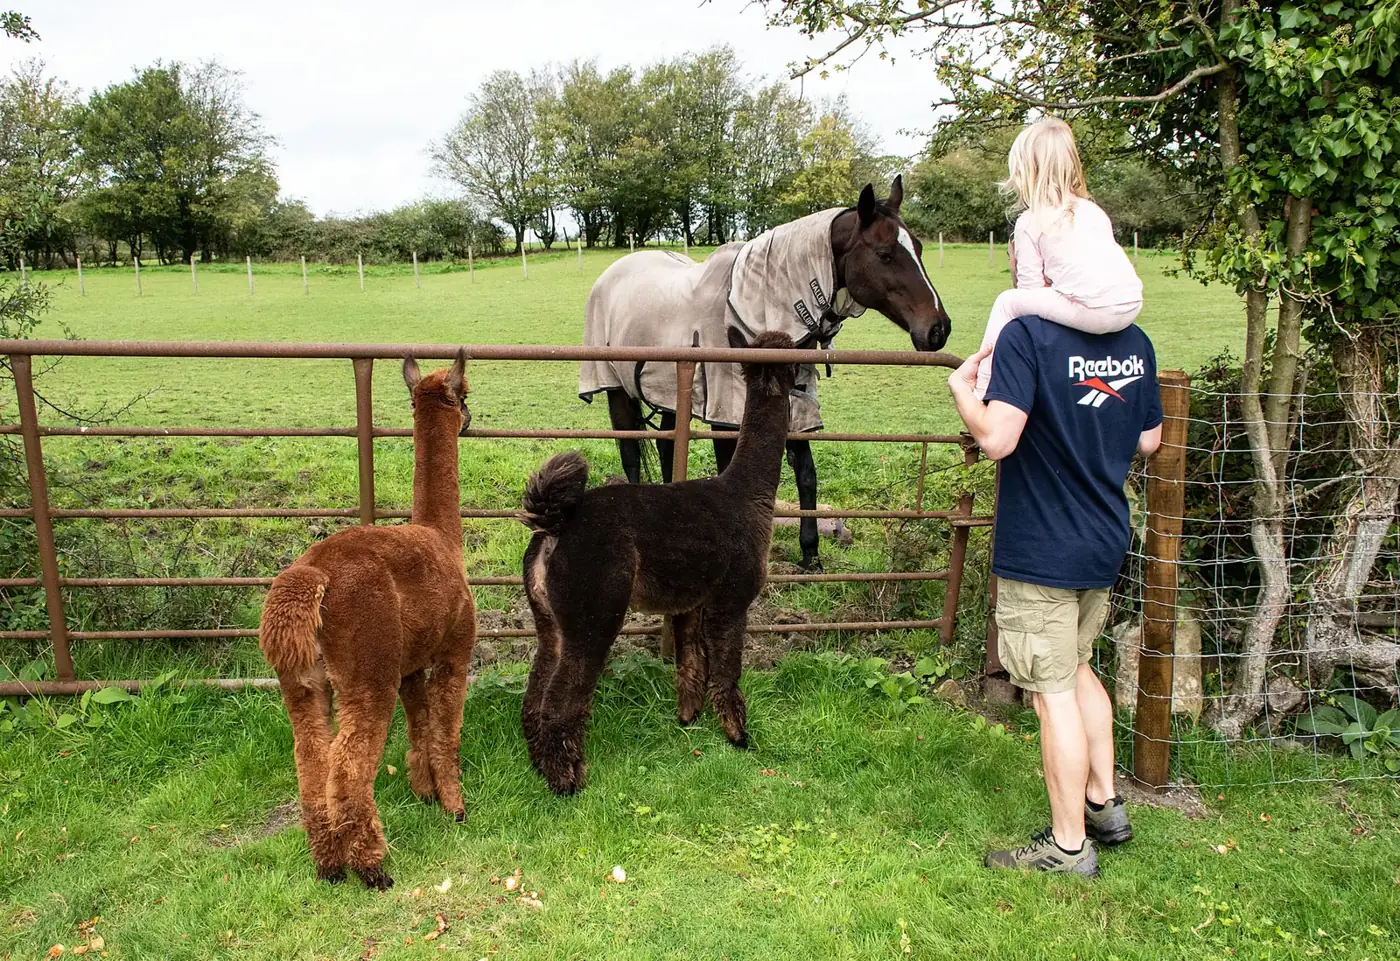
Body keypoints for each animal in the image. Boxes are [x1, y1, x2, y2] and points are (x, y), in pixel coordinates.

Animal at [579, 175, 951, 570]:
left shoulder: (797, 405)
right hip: (616, 391)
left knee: (667, 447)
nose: (938, 329)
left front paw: (811, 554)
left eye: (920, 249)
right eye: (884, 253)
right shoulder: (725, 415)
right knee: (630, 454)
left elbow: (806, 473)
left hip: (669, 393)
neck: (751, 306)